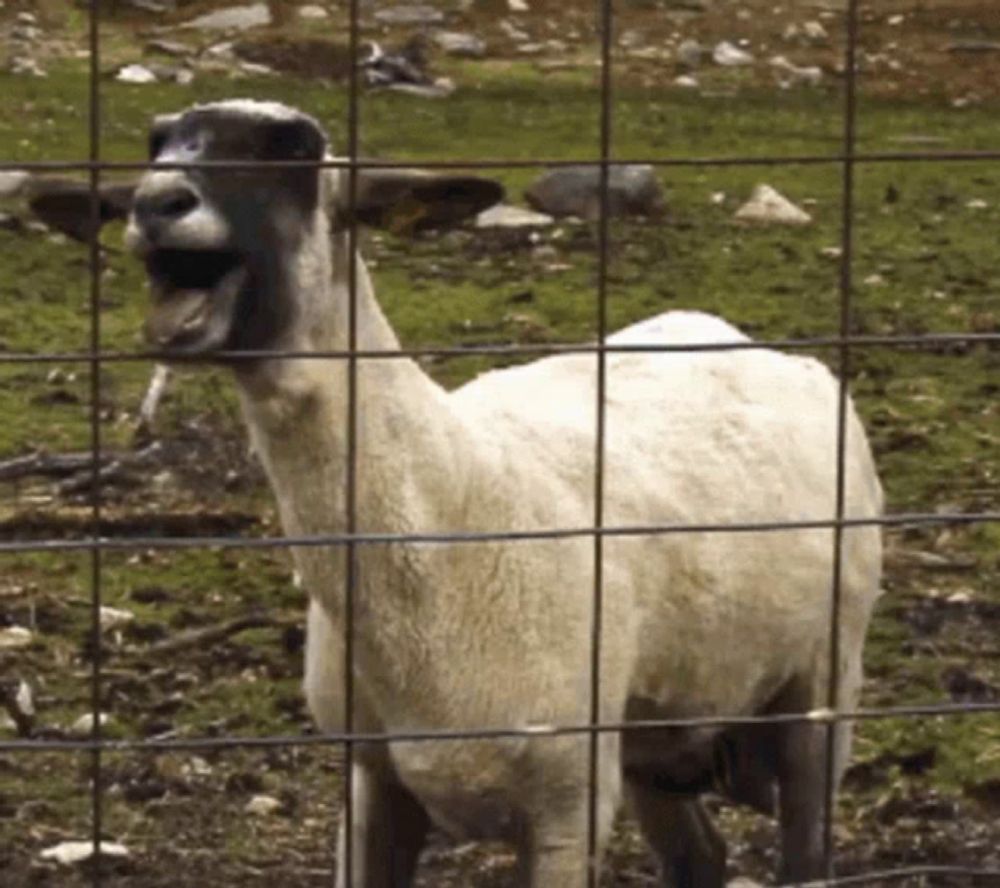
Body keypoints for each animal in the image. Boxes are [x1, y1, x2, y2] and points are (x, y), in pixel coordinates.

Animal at [94, 100, 880, 884]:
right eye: (159, 141)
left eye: (292, 149)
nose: (155, 203)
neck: (446, 514)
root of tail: (751, 344)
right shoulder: (373, 778)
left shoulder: (566, 804)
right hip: (656, 727)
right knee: (700, 856)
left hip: (822, 682)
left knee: (807, 846)